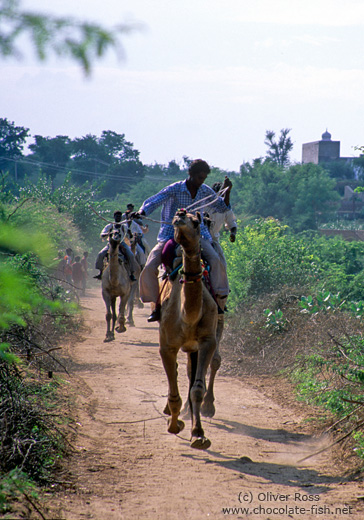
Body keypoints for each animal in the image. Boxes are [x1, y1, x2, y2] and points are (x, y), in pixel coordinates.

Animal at [159, 209, 219, 448]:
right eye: (177, 216)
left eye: (196, 222)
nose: (181, 213)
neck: (188, 316)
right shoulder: (167, 345)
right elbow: (175, 384)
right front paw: (174, 425)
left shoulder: (207, 341)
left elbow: (197, 389)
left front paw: (199, 434)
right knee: (175, 372)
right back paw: (171, 413)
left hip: (194, 346)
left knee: (191, 374)